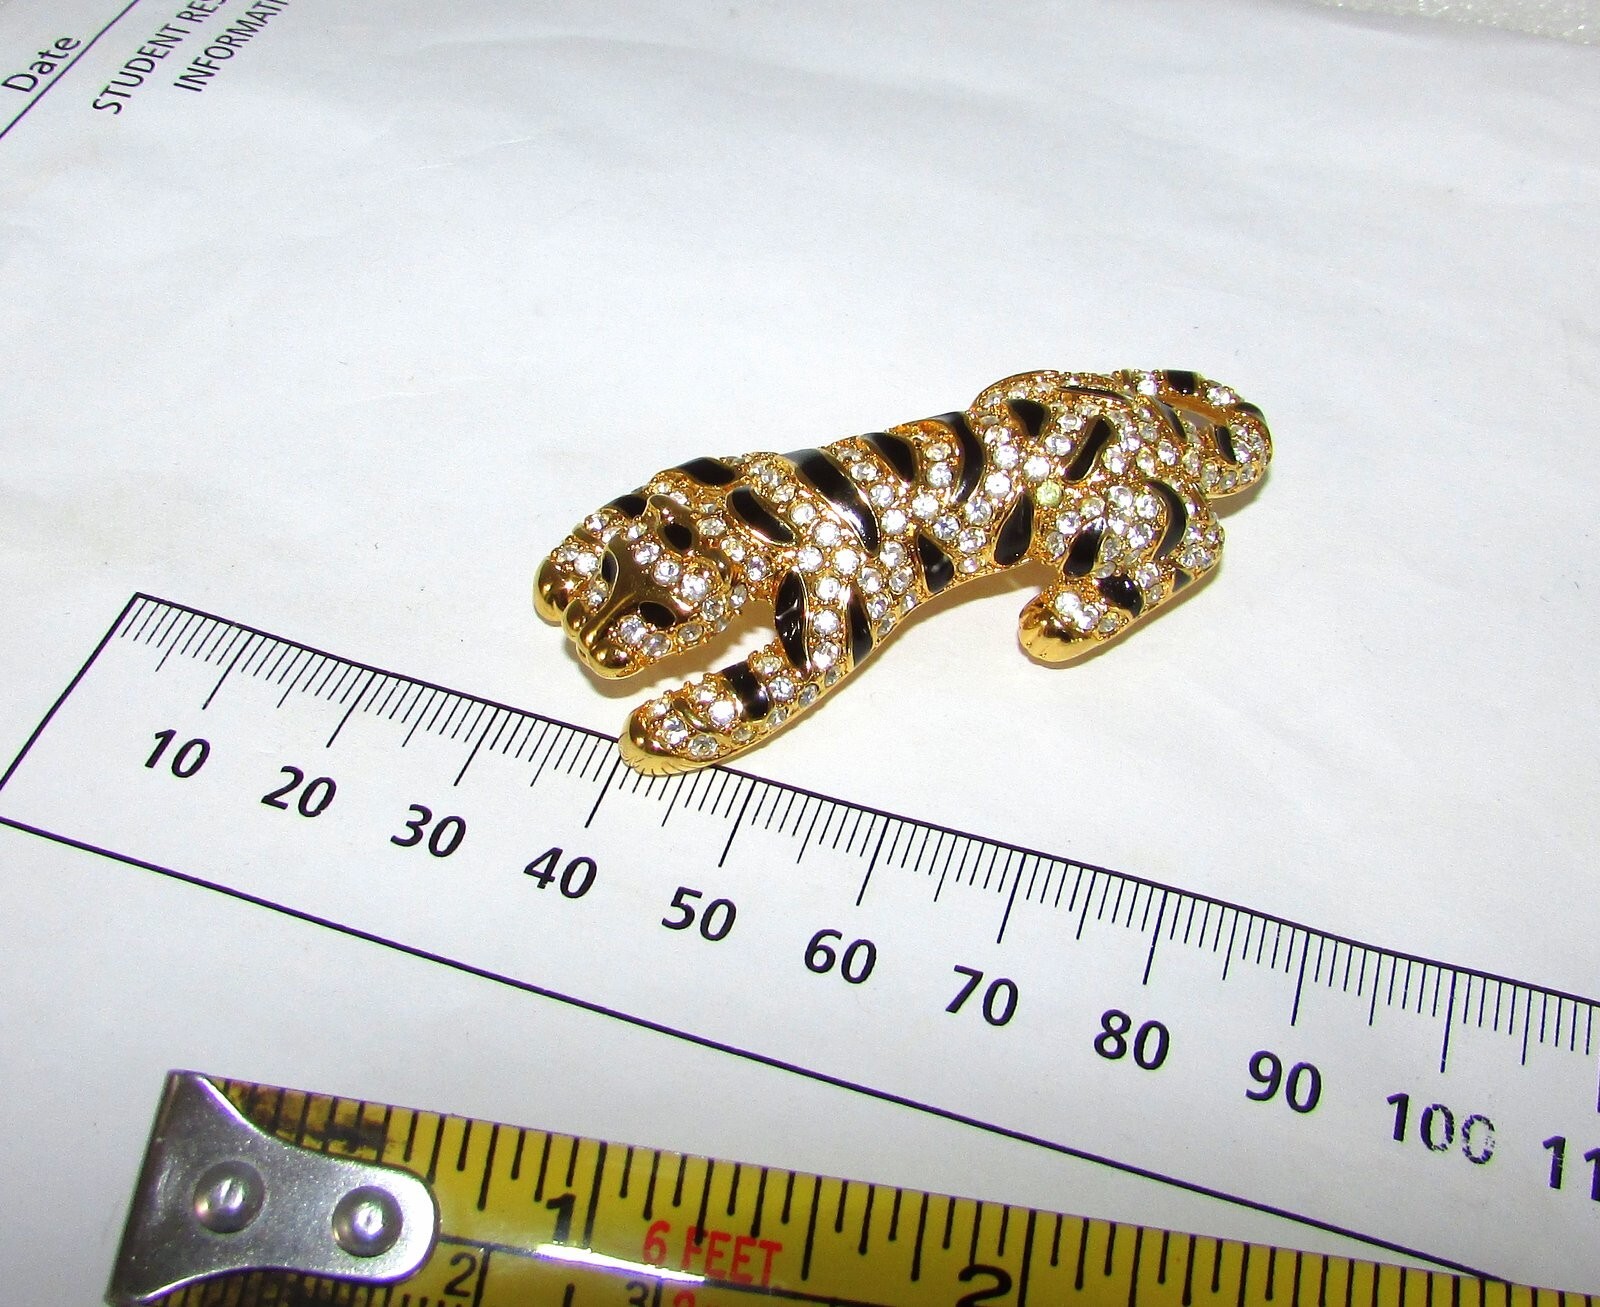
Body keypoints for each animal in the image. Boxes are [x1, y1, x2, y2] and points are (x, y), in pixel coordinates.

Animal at [536, 369, 1271, 774]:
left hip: (1092, 523)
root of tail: (1165, 424)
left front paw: (670, 724)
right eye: (614, 571)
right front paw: (563, 575)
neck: (762, 515)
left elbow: (755, 690)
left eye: (662, 615)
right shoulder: (716, 468)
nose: (587, 645)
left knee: (1198, 537)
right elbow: (622, 504)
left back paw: (1068, 614)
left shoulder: (833, 624)